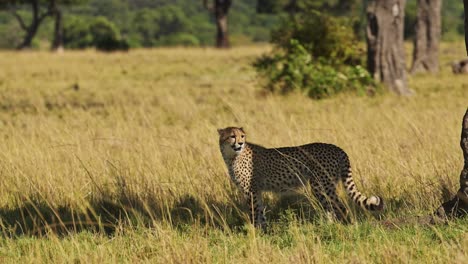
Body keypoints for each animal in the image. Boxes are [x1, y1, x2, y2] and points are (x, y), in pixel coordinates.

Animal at [218, 127, 382, 228]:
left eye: (242, 136)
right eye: (232, 136)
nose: (240, 143)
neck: (232, 156)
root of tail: (337, 147)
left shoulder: (250, 192)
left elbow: (254, 213)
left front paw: (253, 233)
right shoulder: (257, 191)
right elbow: (261, 213)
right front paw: (264, 232)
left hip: (321, 185)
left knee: (339, 207)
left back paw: (340, 228)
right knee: (330, 208)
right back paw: (328, 227)